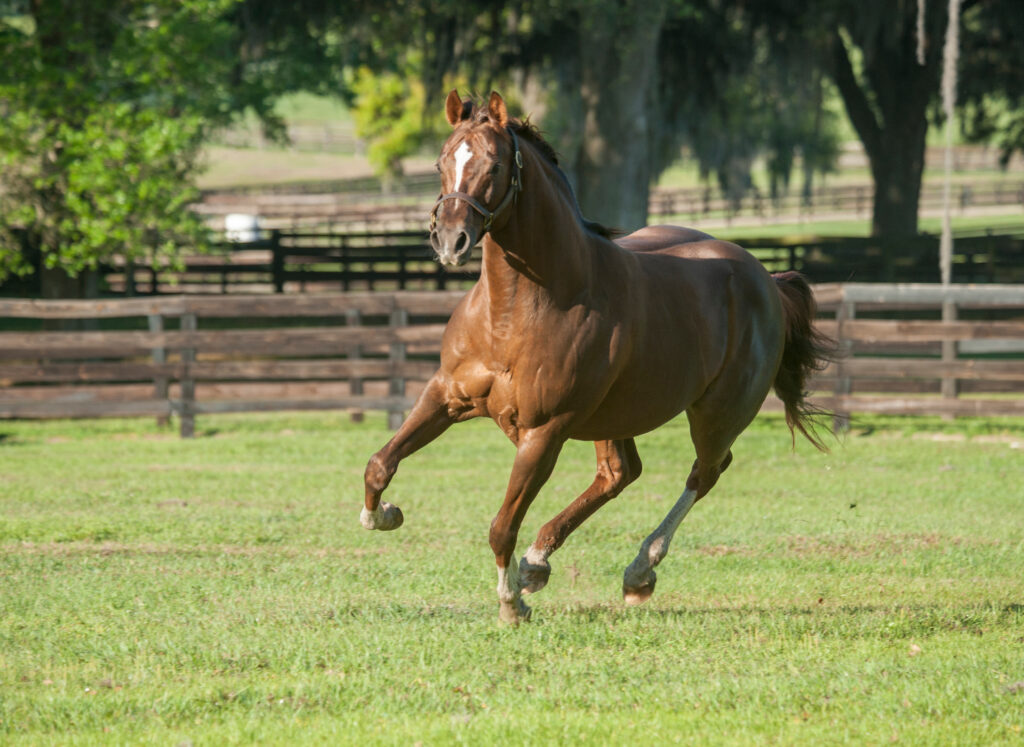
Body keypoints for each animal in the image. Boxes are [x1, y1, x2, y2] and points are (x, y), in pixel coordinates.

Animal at [360, 91, 832, 623]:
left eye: (495, 163)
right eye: (442, 161)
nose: (450, 240)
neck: (519, 310)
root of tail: (765, 278)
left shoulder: (544, 432)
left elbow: (502, 526)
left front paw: (511, 604)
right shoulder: (446, 396)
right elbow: (380, 463)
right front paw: (383, 514)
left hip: (717, 413)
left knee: (705, 472)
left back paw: (638, 572)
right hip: (614, 416)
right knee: (620, 473)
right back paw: (539, 563)